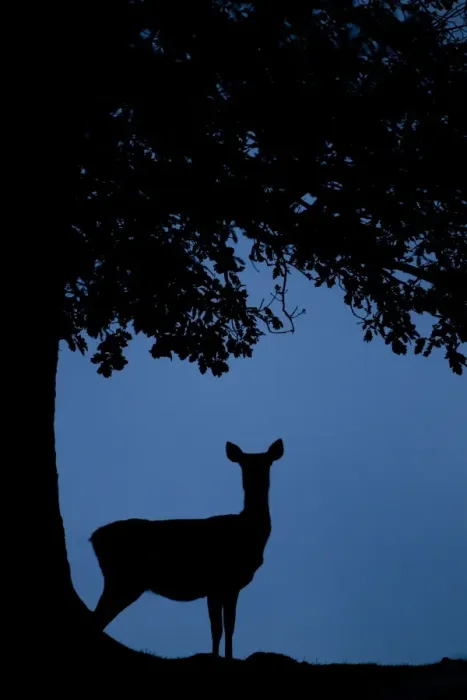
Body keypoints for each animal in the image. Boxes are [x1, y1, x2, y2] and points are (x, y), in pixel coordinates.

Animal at [89, 438, 284, 659]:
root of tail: (94, 538)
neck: (249, 533)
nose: (256, 478)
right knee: (96, 620)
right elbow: (221, 628)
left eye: (267, 462)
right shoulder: (221, 581)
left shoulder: (223, 586)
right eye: (244, 464)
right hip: (123, 580)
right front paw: (221, 658)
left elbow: (225, 627)